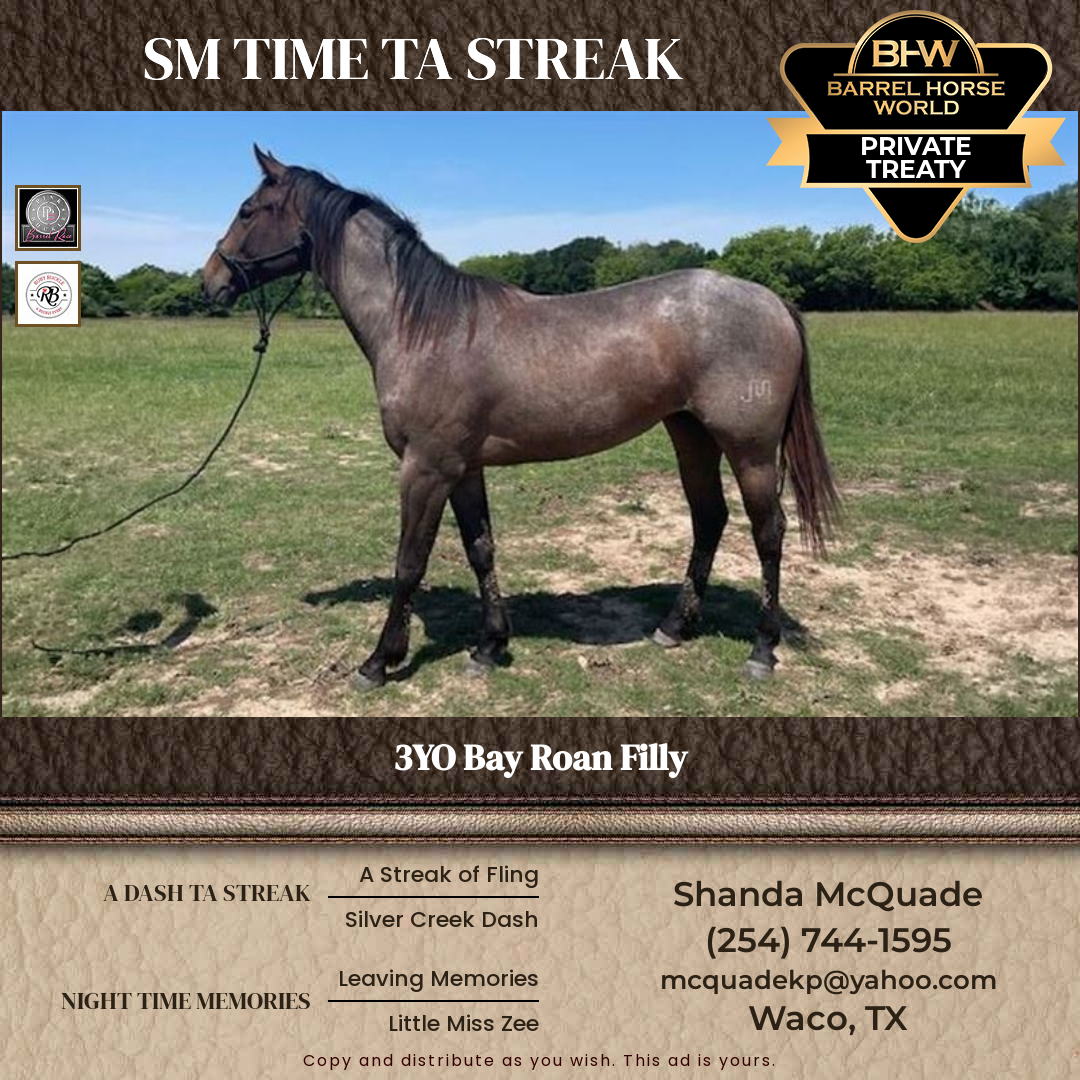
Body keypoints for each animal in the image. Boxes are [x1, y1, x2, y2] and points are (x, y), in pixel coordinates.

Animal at [202, 146, 839, 690]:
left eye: (248, 209)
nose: (210, 281)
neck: (425, 328)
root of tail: (771, 299)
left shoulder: (425, 468)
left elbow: (410, 561)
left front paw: (379, 662)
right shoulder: (462, 469)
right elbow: (480, 547)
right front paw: (489, 647)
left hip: (750, 449)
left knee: (768, 532)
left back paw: (761, 650)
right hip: (691, 435)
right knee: (708, 519)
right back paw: (673, 628)